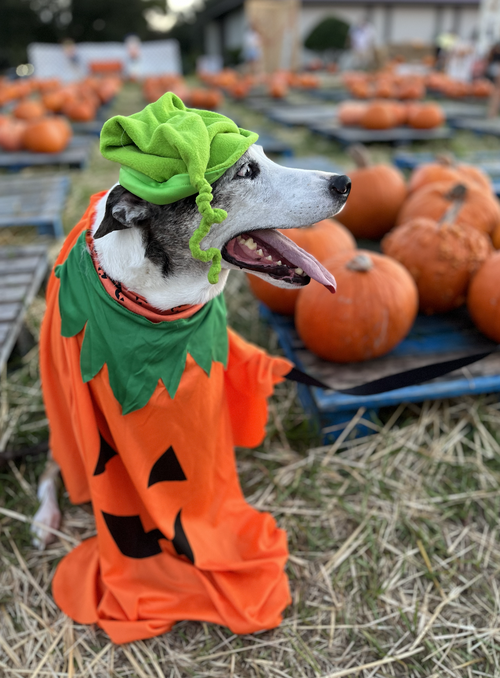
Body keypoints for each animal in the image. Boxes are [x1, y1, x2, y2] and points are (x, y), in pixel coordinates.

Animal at [31, 143, 350, 638]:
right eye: (245, 171)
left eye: (264, 155)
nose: (345, 183)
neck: (160, 310)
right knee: (54, 460)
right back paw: (45, 519)